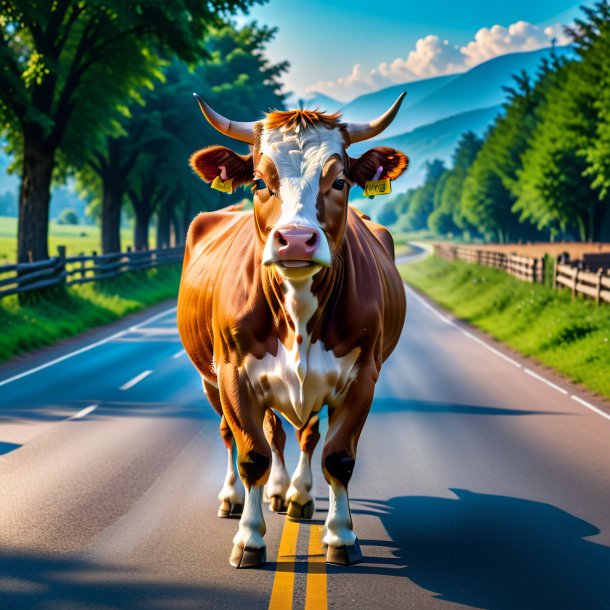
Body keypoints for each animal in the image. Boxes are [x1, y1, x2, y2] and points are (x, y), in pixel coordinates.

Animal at [176, 94, 406, 564]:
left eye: (340, 182)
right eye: (259, 182)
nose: (296, 240)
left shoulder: (362, 378)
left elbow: (337, 457)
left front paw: (341, 536)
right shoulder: (234, 375)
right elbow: (252, 456)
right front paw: (249, 538)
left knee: (301, 434)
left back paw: (296, 495)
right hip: (210, 378)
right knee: (237, 435)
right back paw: (237, 498)